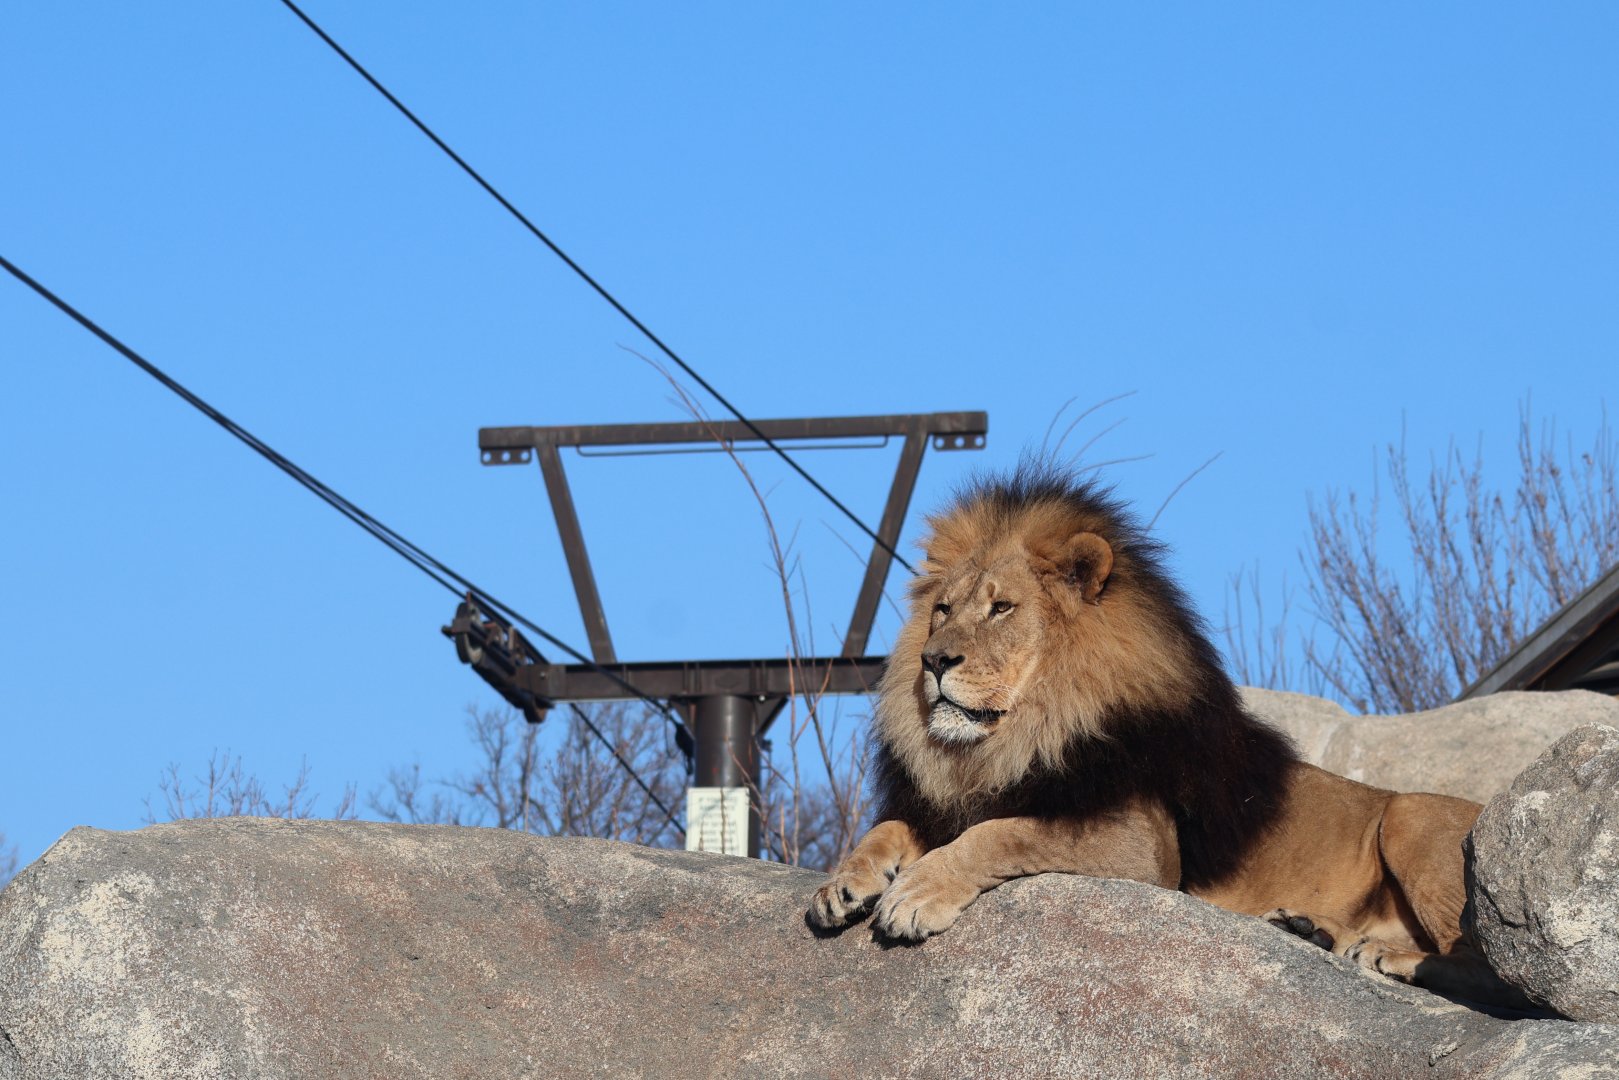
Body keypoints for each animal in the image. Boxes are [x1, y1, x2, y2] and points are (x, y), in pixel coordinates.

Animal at [808, 463, 1525, 1008]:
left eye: (1001, 608)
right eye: (942, 611)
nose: (933, 661)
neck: (1018, 737)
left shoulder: (1144, 850)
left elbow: (1002, 834)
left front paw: (916, 894)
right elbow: (888, 828)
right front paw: (842, 884)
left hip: (1410, 816)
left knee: (1497, 973)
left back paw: (1384, 955)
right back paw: (1312, 931)